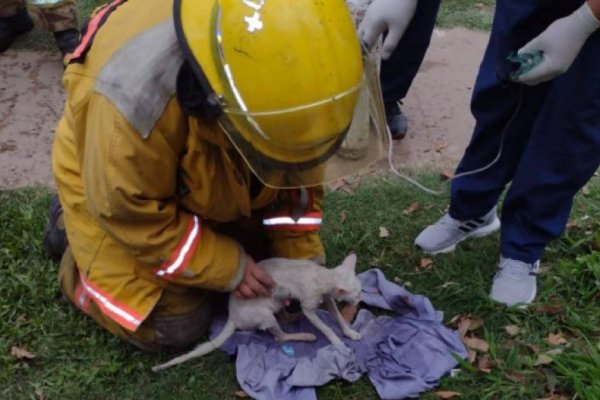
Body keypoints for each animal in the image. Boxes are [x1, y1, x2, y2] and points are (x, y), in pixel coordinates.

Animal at [152, 253, 364, 372]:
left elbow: (338, 318)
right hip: (265, 316)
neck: (324, 276)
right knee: (280, 337)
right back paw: (305, 335)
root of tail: (232, 317)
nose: (361, 300)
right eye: (358, 294)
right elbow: (326, 327)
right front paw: (337, 343)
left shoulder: (327, 299)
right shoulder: (309, 306)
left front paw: (350, 332)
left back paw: (289, 316)